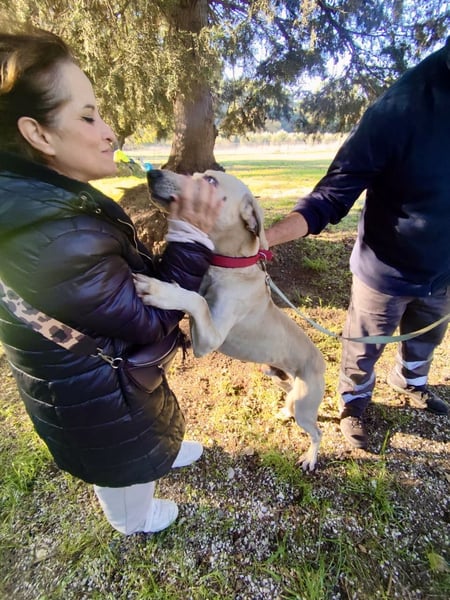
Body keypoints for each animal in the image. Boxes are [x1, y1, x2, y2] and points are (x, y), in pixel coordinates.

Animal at [134, 170, 326, 470]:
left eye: (210, 181)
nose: (153, 172)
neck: (229, 265)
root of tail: (322, 362)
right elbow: (196, 294)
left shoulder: (209, 339)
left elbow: (197, 301)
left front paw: (161, 291)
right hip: (280, 379)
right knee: (290, 398)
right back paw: (285, 411)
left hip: (307, 406)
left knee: (317, 432)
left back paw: (310, 457)